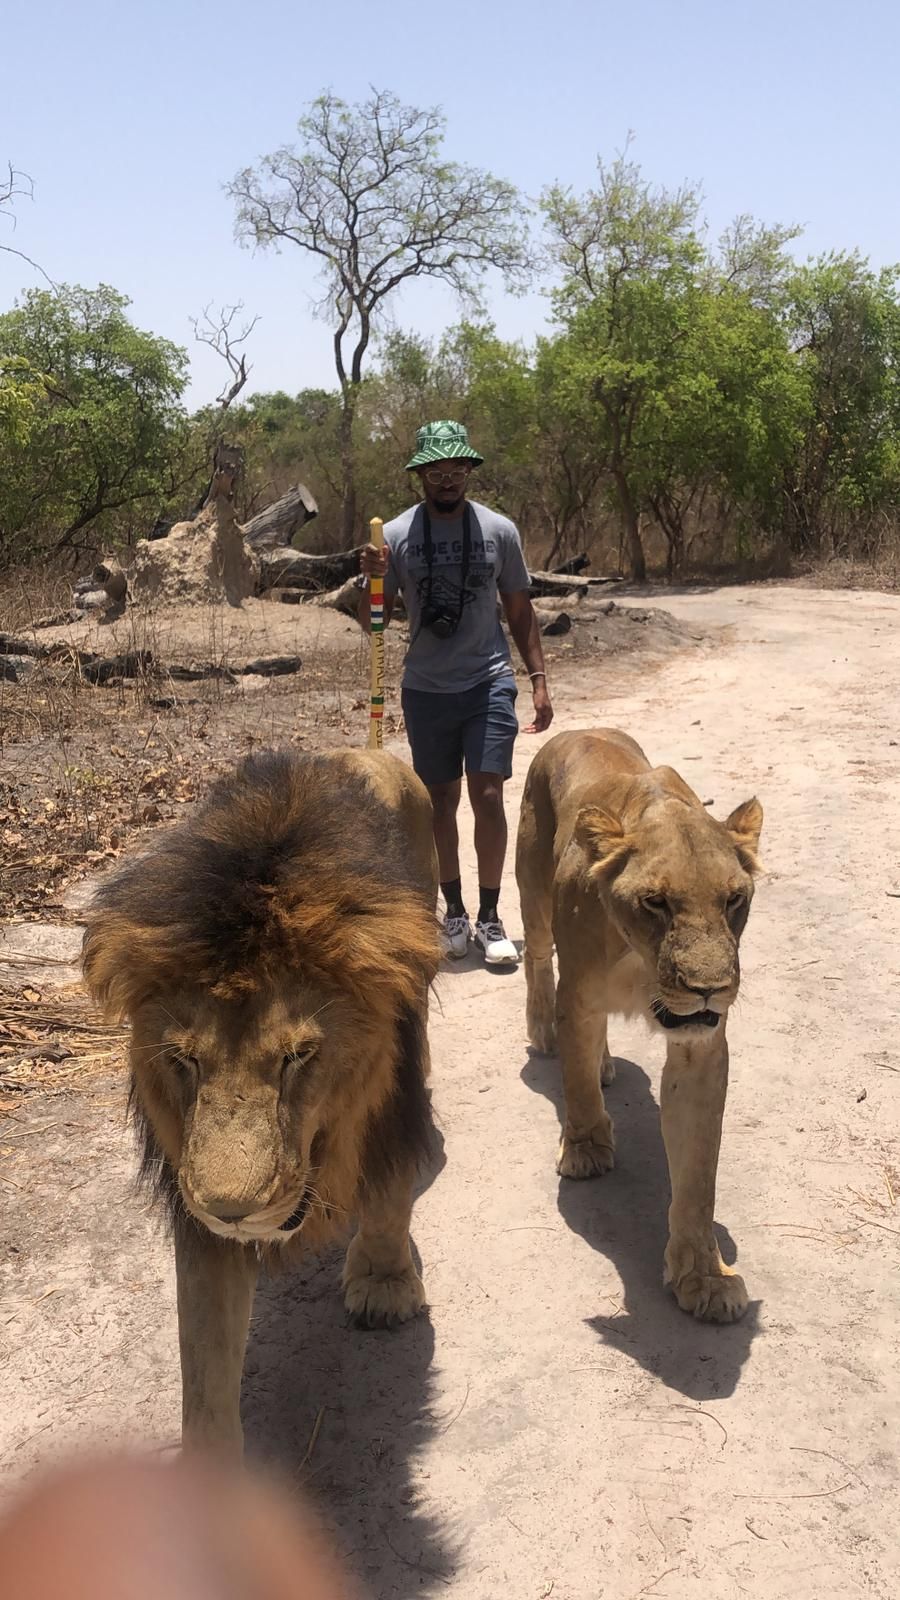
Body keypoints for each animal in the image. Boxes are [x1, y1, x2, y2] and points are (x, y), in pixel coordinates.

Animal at [82, 745, 438, 1452]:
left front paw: (384, 1283)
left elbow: (388, 1195)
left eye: (298, 1056)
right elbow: (206, 1354)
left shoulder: (394, 1105)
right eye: (185, 1058)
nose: (233, 1212)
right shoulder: (194, 1199)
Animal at [515, 732, 759, 1318]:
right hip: (533, 894)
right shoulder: (578, 994)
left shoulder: (701, 1044)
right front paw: (584, 1149)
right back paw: (543, 1032)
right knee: (536, 957)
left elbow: (698, 1171)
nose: (709, 987)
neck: (641, 960)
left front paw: (705, 1276)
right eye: (655, 902)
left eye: (733, 900)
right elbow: (576, 1083)